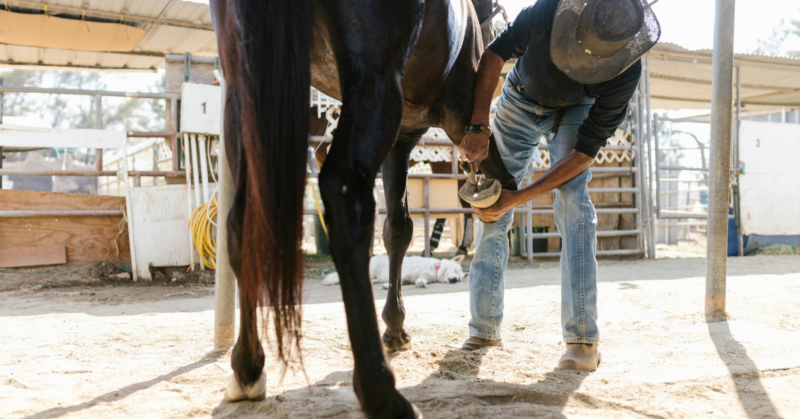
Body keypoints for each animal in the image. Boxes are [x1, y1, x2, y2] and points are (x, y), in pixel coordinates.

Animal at [209, 0, 515, 417]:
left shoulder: (402, 138)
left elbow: (398, 229)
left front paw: (395, 327)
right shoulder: (454, 120)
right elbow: (499, 183)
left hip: (248, 91)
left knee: (242, 223)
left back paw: (247, 369)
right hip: (373, 83)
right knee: (346, 200)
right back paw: (381, 392)